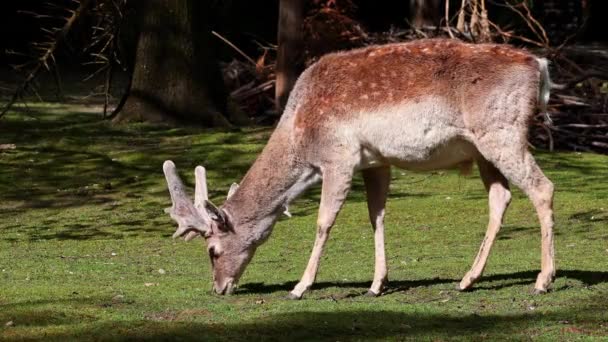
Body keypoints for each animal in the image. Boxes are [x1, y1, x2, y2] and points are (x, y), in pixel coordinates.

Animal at [162, 38, 556, 300]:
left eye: (212, 250)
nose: (219, 288)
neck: (300, 134)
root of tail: (539, 66)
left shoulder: (339, 157)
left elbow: (324, 222)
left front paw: (300, 286)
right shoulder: (375, 161)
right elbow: (376, 217)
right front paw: (377, 284)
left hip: (502, 134)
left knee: (543, 188)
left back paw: (543, 280)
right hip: (484, 150)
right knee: (500, 197)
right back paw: (468, 278)